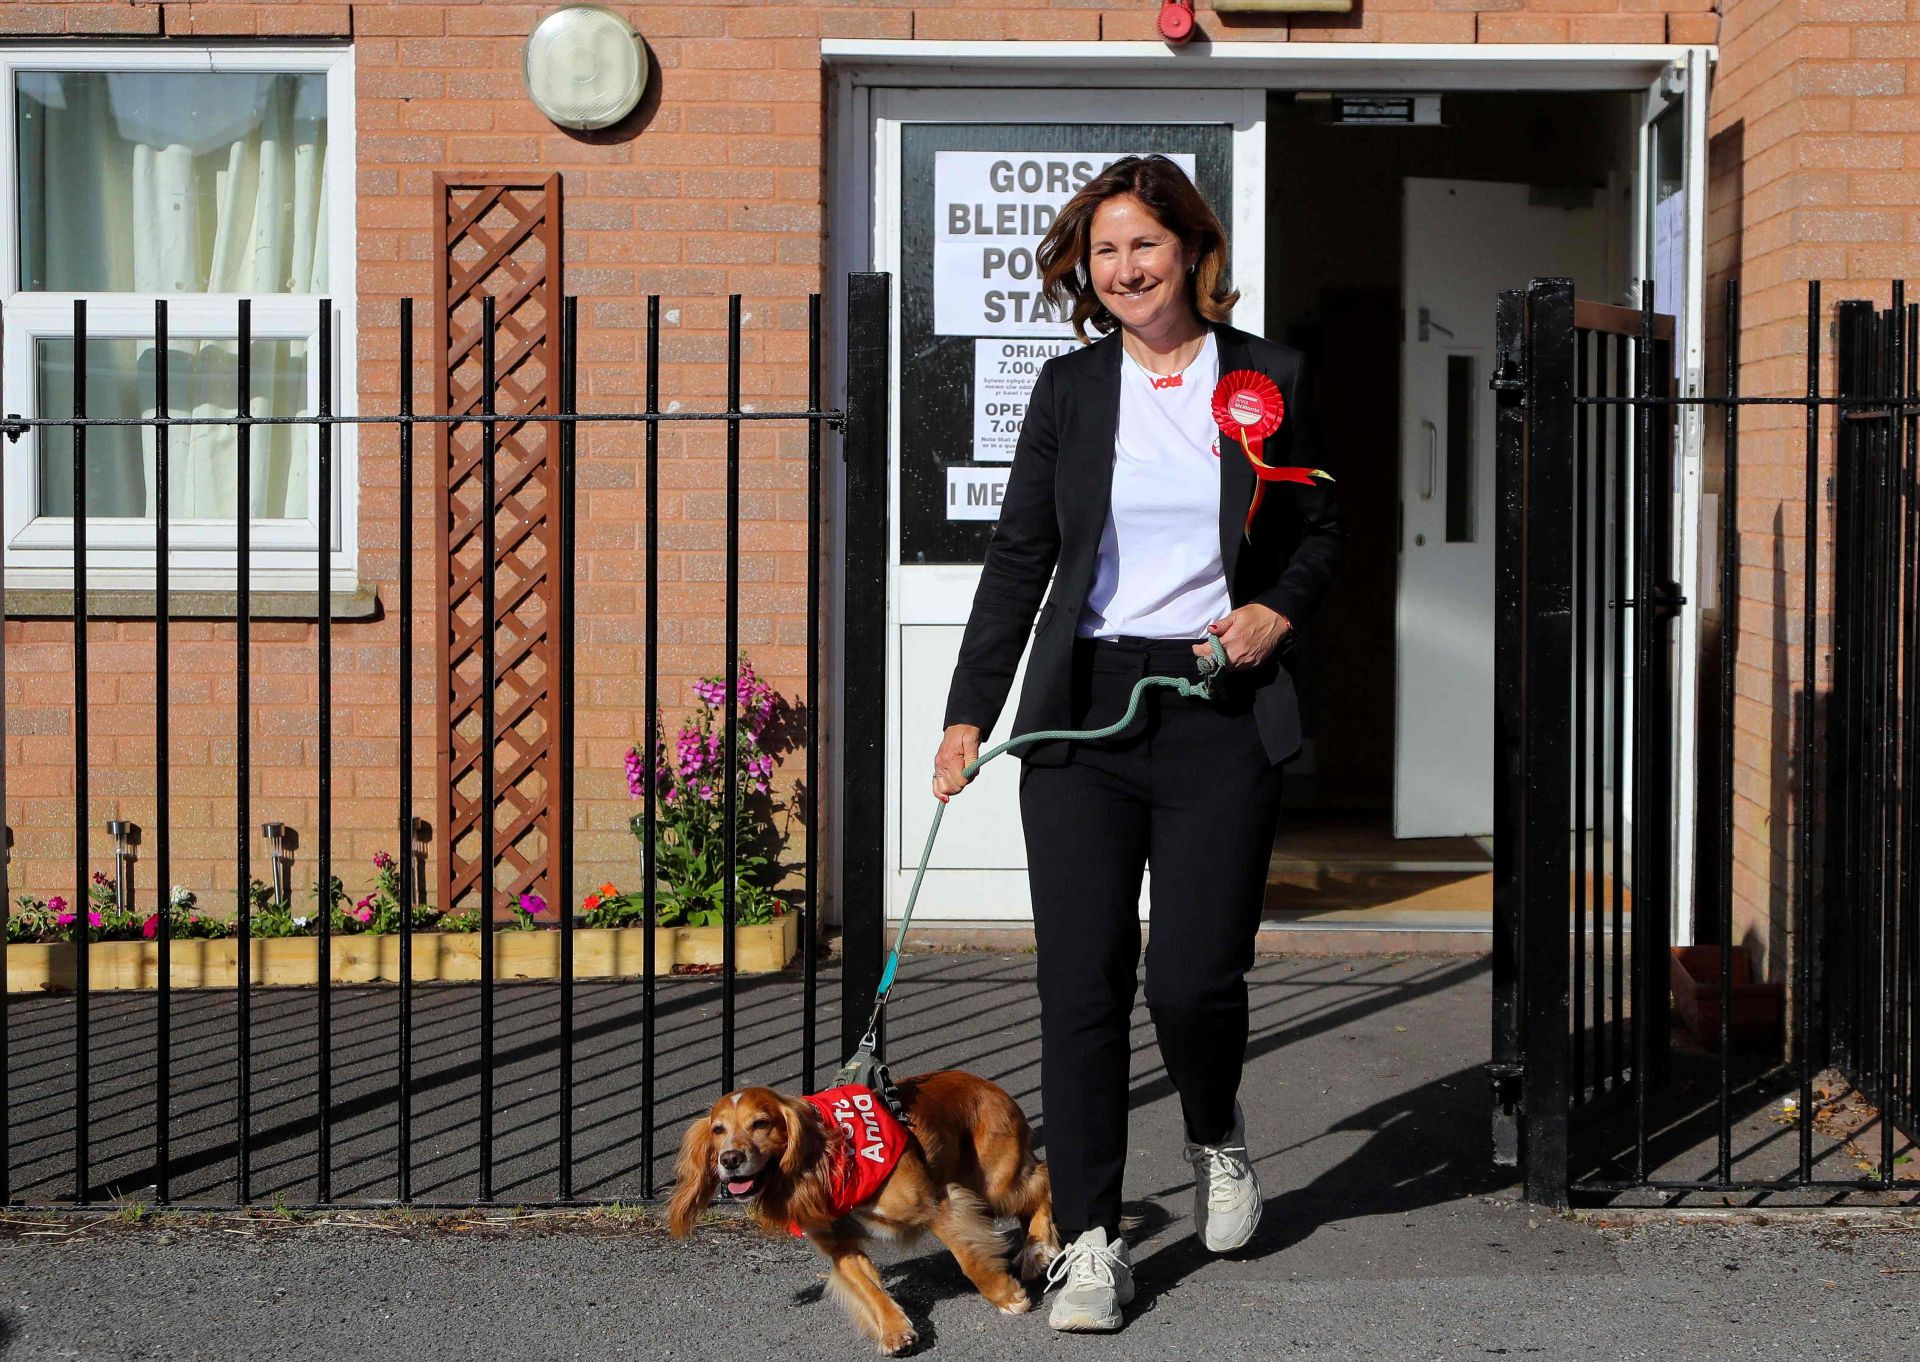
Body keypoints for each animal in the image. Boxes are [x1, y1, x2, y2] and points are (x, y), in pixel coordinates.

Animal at [668, 1075, 1059, 1352]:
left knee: (1044, 1180)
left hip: (997, 1182)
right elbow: (870, 1290)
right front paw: (895, 1330)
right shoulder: (841, 1246)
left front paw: (1005, 1296)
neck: (836, 1159)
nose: (730, 1159)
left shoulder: (937, 1206)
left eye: (761, 1123)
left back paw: (1037, 1249)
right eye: (718, 1130)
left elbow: (970, 1260)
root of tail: (991, 1087)